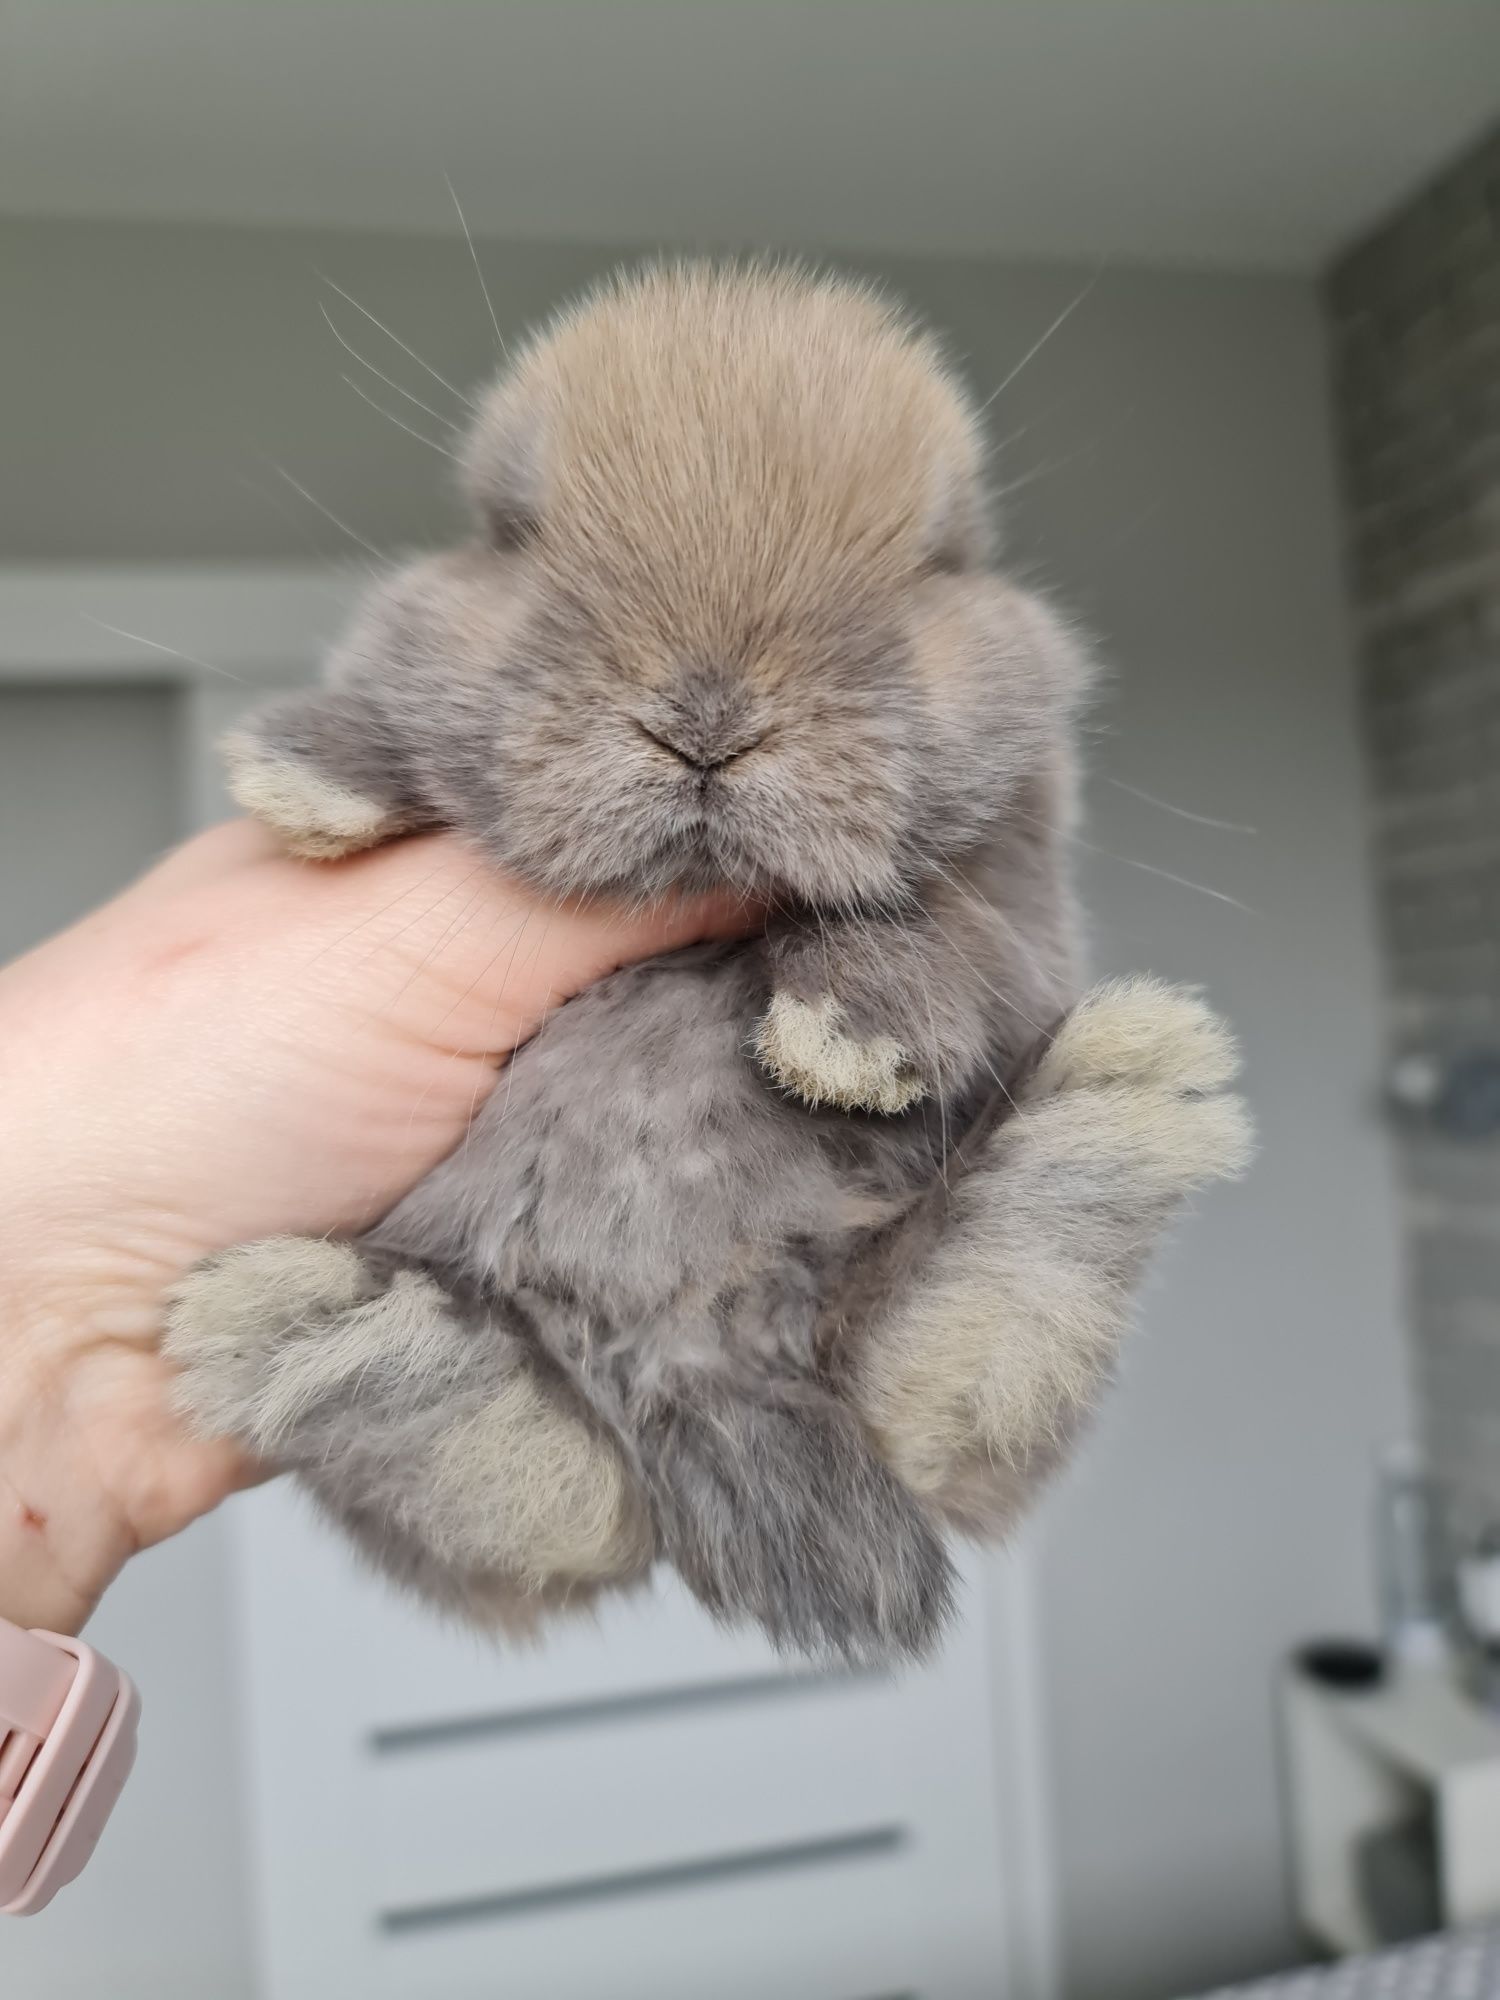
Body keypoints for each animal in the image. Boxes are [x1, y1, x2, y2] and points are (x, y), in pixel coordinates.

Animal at [164, 270, 1248, 1672]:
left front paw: (846, 1034)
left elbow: (945, 928)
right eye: (511, 532)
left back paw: (1110, 1122)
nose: (706, 721)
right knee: (567, 1499)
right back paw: (335, 1340)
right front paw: (311, 767)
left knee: (920, 1385)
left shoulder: (1021, 899)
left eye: (933, 561)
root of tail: (702, 1364)